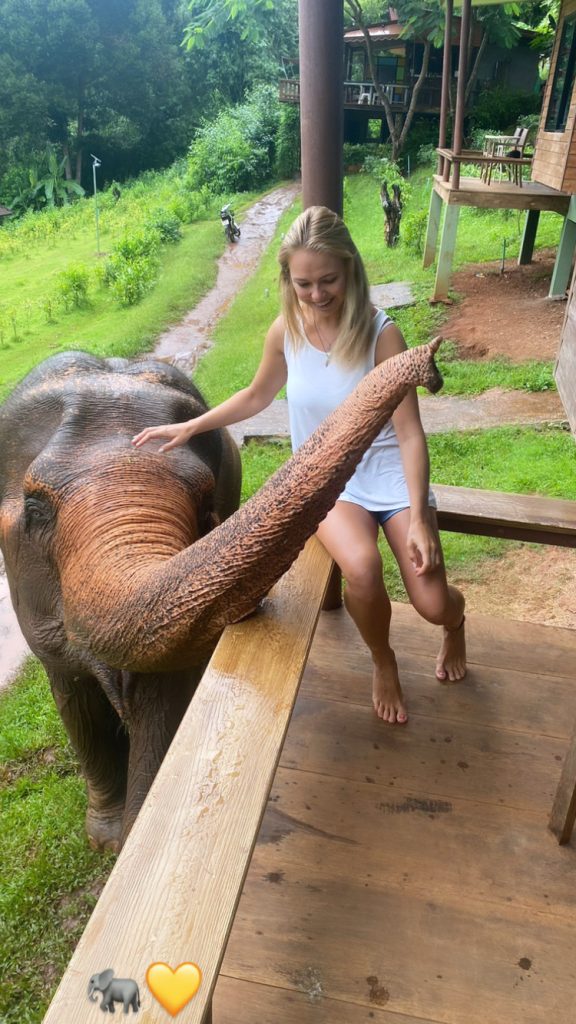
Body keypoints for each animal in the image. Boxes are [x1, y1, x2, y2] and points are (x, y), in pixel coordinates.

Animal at [0, 341, 442, 851]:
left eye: (205, 506)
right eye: (35, 509)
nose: (432, 368)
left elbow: (162, 701)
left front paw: (132, 837)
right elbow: (75, 702)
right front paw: (108, 841)